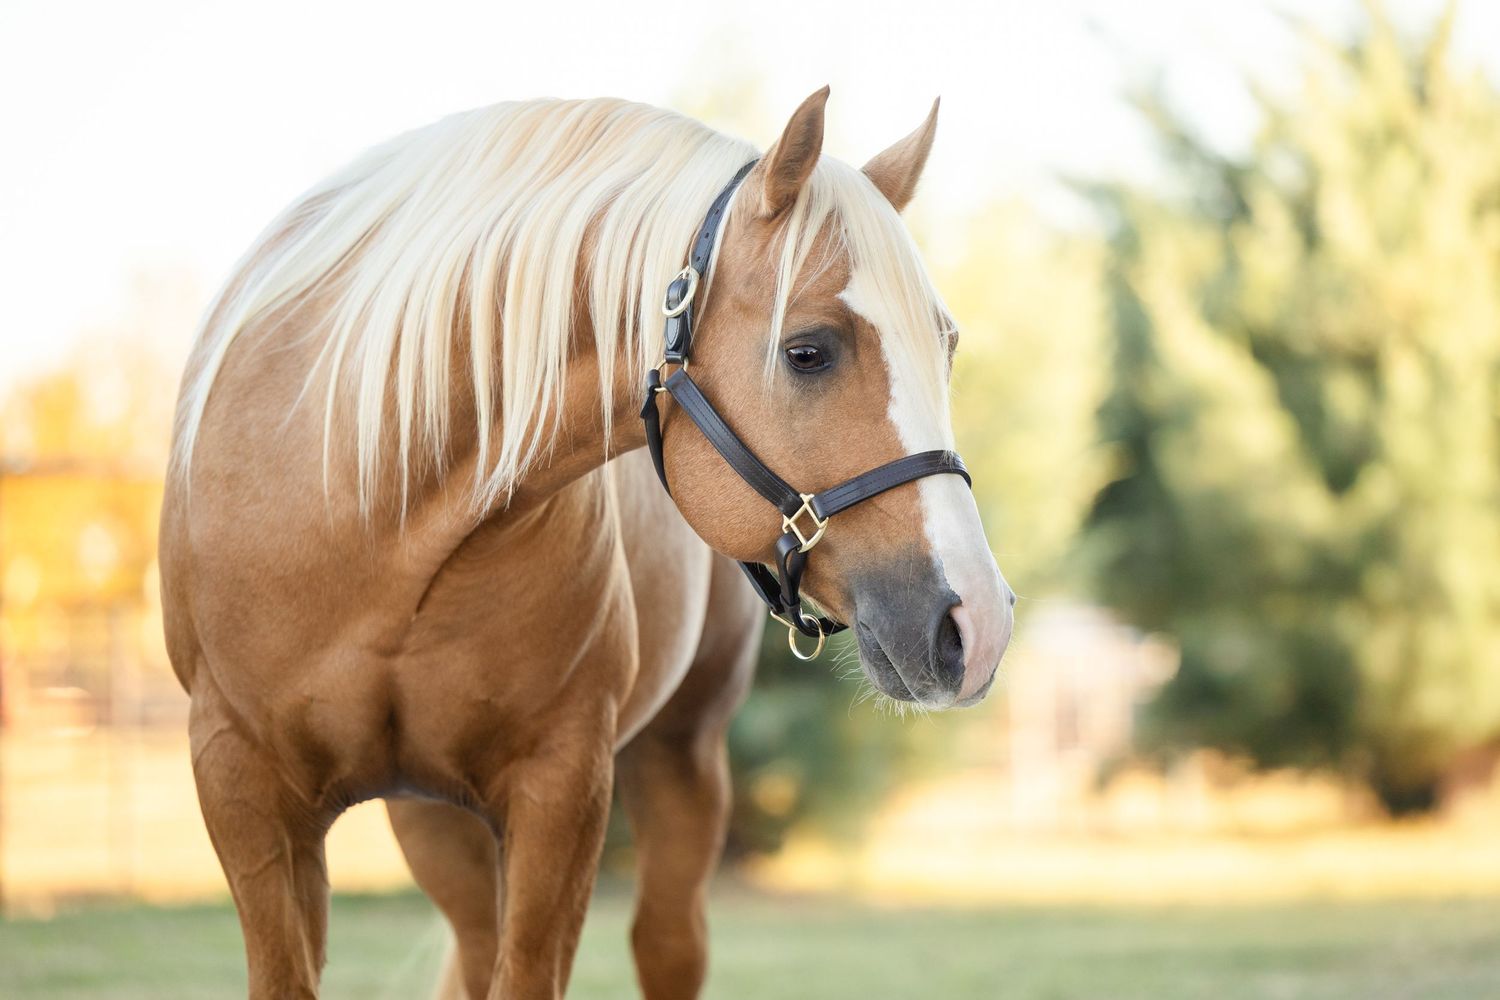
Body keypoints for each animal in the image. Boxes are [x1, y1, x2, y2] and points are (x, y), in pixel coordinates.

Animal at [159, 86, 1014, 1000]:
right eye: (808, 351)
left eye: (946, 349)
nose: (978, 620)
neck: (368, 503)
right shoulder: (240, 786)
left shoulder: (561, 786)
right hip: (432, 815)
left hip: (680, 757)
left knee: (666, 943)